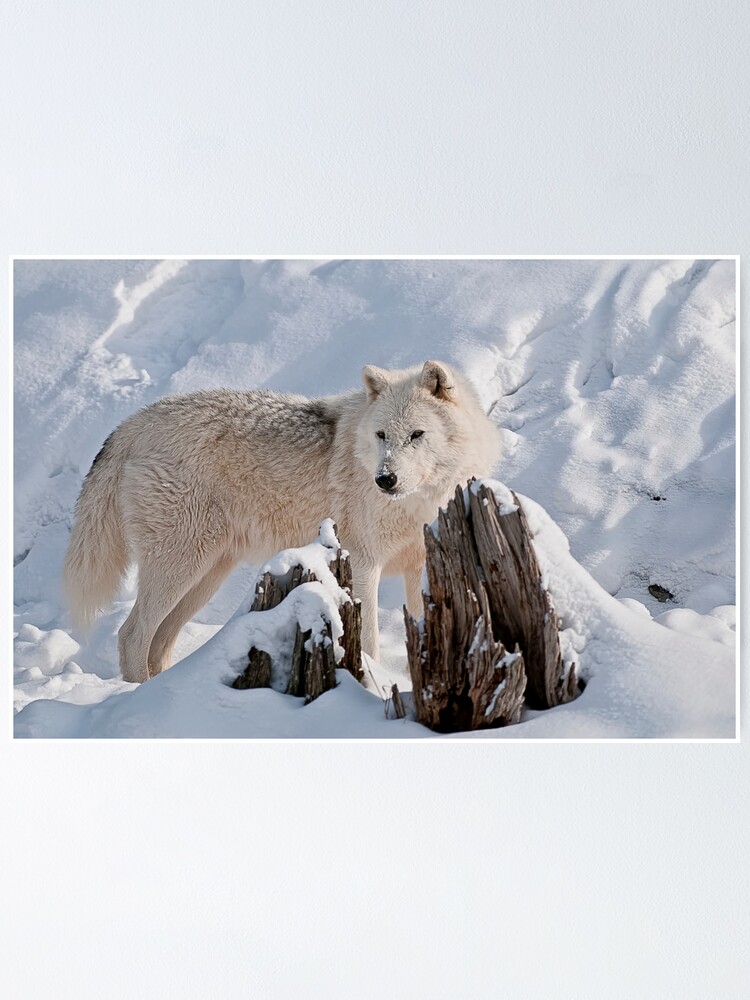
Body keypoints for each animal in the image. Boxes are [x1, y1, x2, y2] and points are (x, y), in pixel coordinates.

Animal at [64, 360, 501, 682]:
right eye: (381, 435)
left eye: (416, 434)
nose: (385, 479)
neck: (416, 503)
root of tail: (132, 424)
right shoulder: (363, 564)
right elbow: (369, 641)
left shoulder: (425, 564)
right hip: (181, 567)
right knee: (132, 635)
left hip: (205, 575)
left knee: (158, 644)